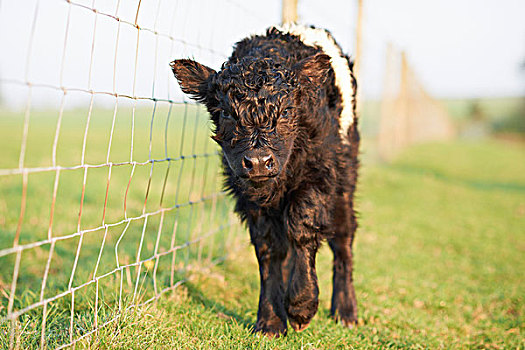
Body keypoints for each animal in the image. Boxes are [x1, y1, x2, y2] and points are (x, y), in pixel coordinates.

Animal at [170, 23, 358, 336]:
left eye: (287, 111)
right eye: (226, 113)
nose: (258, 162)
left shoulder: (319, 174)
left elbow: (302, 227)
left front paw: (302, 306)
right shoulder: (248, 195)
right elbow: (269, 248)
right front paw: (270, 321)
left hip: (345, 177)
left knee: (343, 238)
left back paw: (345, 311)